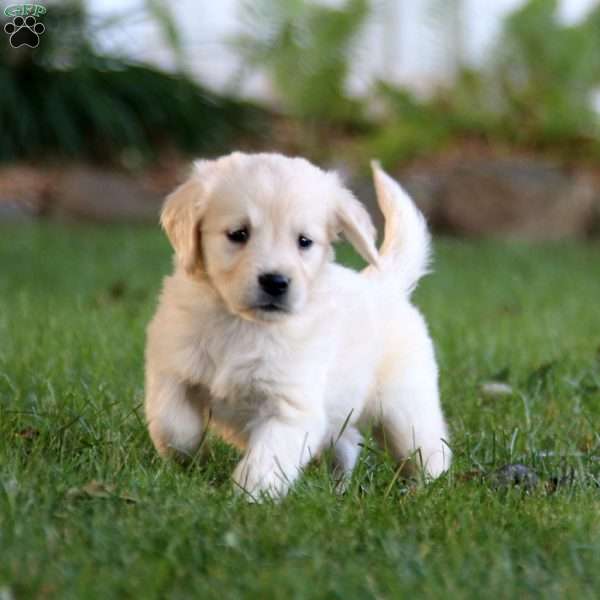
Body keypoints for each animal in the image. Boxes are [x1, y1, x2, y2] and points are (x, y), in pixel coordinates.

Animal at [143, 152, 448, 500]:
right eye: (238, 234)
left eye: (304, 241)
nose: (275, 282)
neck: (242, 324)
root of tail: (384, 283)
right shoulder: (172, 370)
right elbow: (172, 423)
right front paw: (188, 461)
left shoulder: (290, 406)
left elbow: (267, 458)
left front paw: (249, 498)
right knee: (348, 442)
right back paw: (338, 488)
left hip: (405, 407)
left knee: (429, 449)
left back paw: (427, 489)